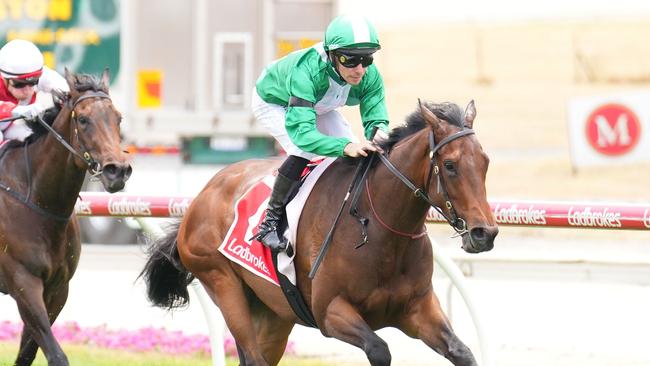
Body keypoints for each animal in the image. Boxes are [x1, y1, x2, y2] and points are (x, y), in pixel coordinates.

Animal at [0, 68, 132, 364]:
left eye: (118, 118)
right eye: (83, 119)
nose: (117, 170)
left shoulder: (58, 289)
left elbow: (27, 354)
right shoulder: (23, 282)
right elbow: (56, 354)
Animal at [142, 100, 496, 366]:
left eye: (485, 162)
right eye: (450, 165)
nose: (485, 233)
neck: (381, 229)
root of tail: (201, 197)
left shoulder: (418, 310)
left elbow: (462, 352)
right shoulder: (330, 313)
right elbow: (379, 349)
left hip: (273, 312)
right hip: (223, 285)